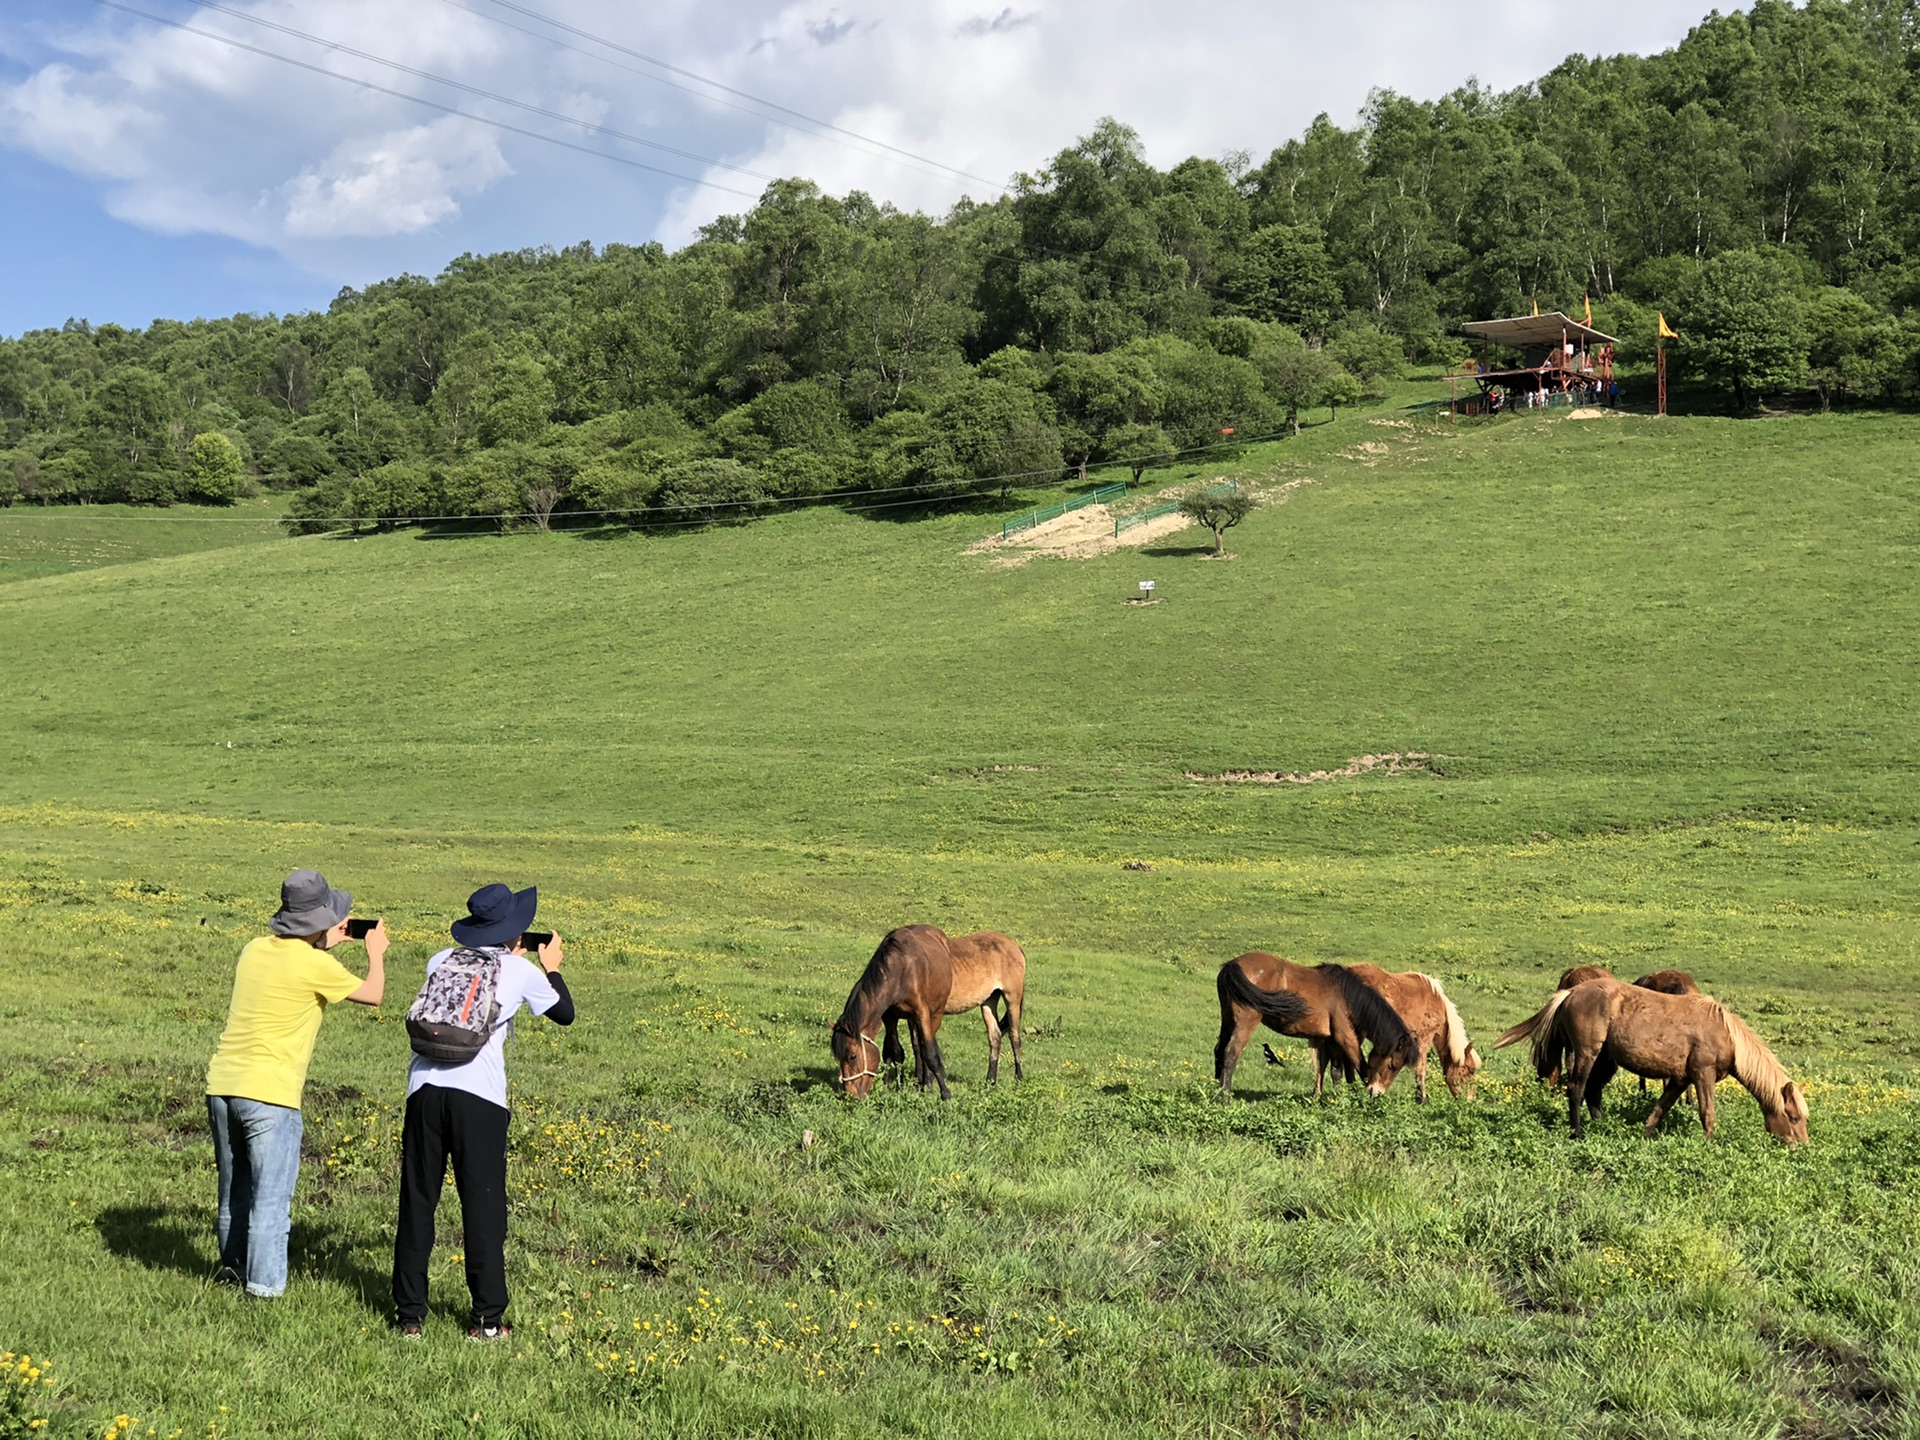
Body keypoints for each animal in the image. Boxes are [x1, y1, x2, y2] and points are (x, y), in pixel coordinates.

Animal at [837, 925, 956, 1105]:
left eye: (853, 1056)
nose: (850, 1096)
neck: (901, 971)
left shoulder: (922, 1013)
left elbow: (930, 1054)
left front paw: (944, 1093)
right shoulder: (890, 1017)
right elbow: (896, 1052)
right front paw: (899, 1086)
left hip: (936, 1012)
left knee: (925, 1046)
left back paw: (927, 1083)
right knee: (916, 1046)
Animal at [883, 936, 1029, 1082]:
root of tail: (1014, 945)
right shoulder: (912, 1016)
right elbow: (911, 1045)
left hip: (1012, 998)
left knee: (1014, 1035)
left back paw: (1019, 1077)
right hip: (989, 1000)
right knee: (995, 1036)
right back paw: (990, 1081)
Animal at [1344, 971, 1474, 1105]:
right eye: (1468, 1072)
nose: (1470, 1100)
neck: (1437, 1004)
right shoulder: (1424, 1039)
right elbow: (1421, 1069)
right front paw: (1422, 1099)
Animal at [1520, 983, 1804, 1152]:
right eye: (1793, 1117)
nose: (1800, 1147)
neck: (1726, 1034)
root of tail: (1571, 993)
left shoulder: (1680, 1080)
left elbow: (1659, 1109)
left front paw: (1644, 1138)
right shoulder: (1703, 1074)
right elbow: (1707, 1112)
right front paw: (1709, 1146)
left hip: (1605, 1058)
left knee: (1593, 1092)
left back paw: (1601, 1127)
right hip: (1587, 1052)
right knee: (1576, 1089)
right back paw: (1578, 1134)